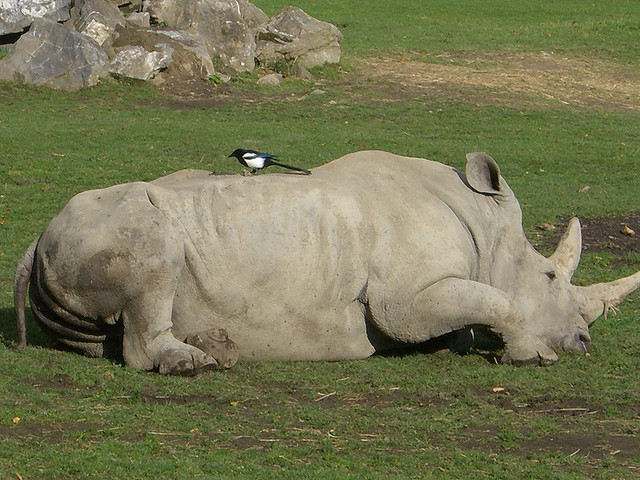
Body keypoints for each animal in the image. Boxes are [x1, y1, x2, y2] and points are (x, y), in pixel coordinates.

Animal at [13, 151, 640, 376]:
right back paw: (195, 365)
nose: (583, 342)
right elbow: (496, 300)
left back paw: (218, 349)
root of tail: (36, 237)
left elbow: (469, 313)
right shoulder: (403, 297)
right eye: (551, 276)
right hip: (117, 226)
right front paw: (531, 356)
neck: (484, 227)